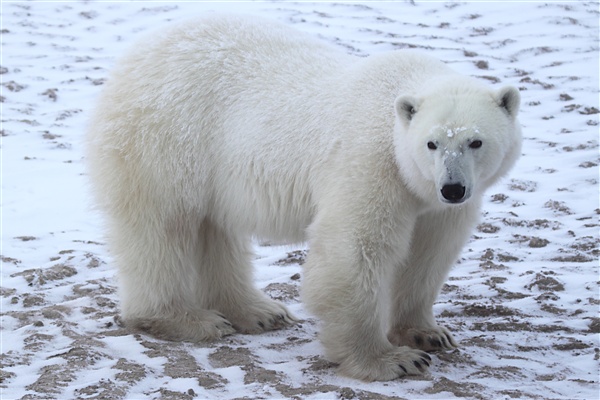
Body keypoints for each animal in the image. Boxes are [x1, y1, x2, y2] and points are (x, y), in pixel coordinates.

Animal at [86, 13, 524, 382]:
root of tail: (136, 54)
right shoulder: (371, 164)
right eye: (432, 143)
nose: (453, 188)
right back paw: (187, 320)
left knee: (215, 229)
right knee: (162, 227)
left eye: (475, 141)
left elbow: (429, 253)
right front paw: (391, 360)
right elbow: (354, 249)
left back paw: (258, 312)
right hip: (166, 139)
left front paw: (427, 334)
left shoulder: (434, 203)